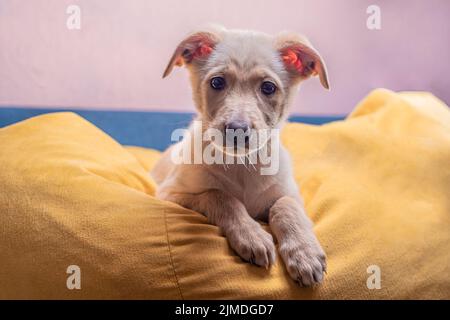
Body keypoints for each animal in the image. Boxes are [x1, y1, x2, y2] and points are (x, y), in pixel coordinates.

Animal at [150, 25, 326, 284]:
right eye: (217, 82)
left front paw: (305, 253)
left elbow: (285, 206)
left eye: (268, 88)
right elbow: (220, 196)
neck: (241, 164)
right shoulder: (170, 194)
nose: (237, 129)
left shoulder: (292, 194)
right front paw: (252, 236)